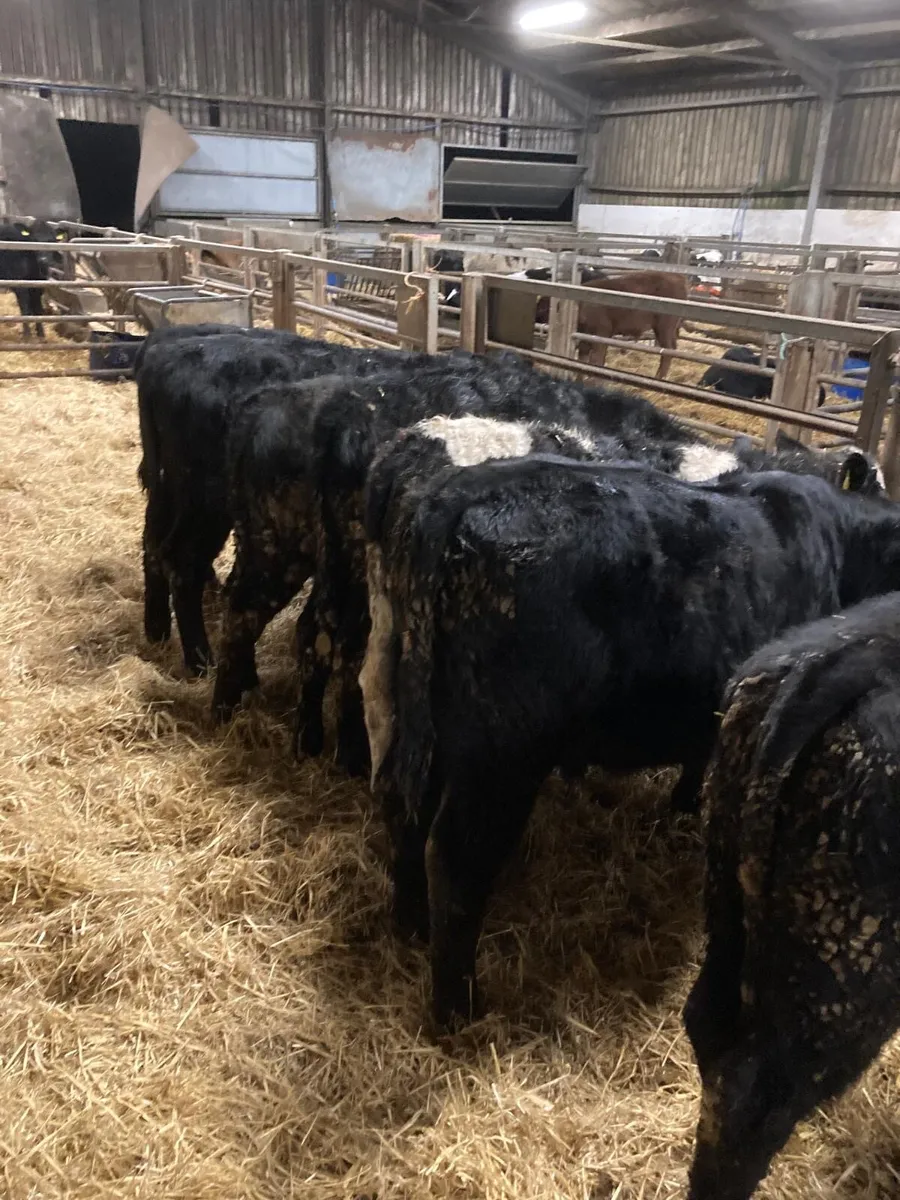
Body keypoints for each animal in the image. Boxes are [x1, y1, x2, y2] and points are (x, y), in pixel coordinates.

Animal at [137, 330, 505, 675]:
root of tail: (161, 352)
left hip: (176, 493)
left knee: (156, 544)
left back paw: (159, 634)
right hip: (204, 503)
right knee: (184, 563)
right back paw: (200, 661)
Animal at [362, 455, 900, 1026]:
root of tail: (461, 490)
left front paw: (684, 804)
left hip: (418, 717)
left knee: (404, 806)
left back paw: (411, 924)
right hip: (501, 759)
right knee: (456, 861)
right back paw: (458, 1008)